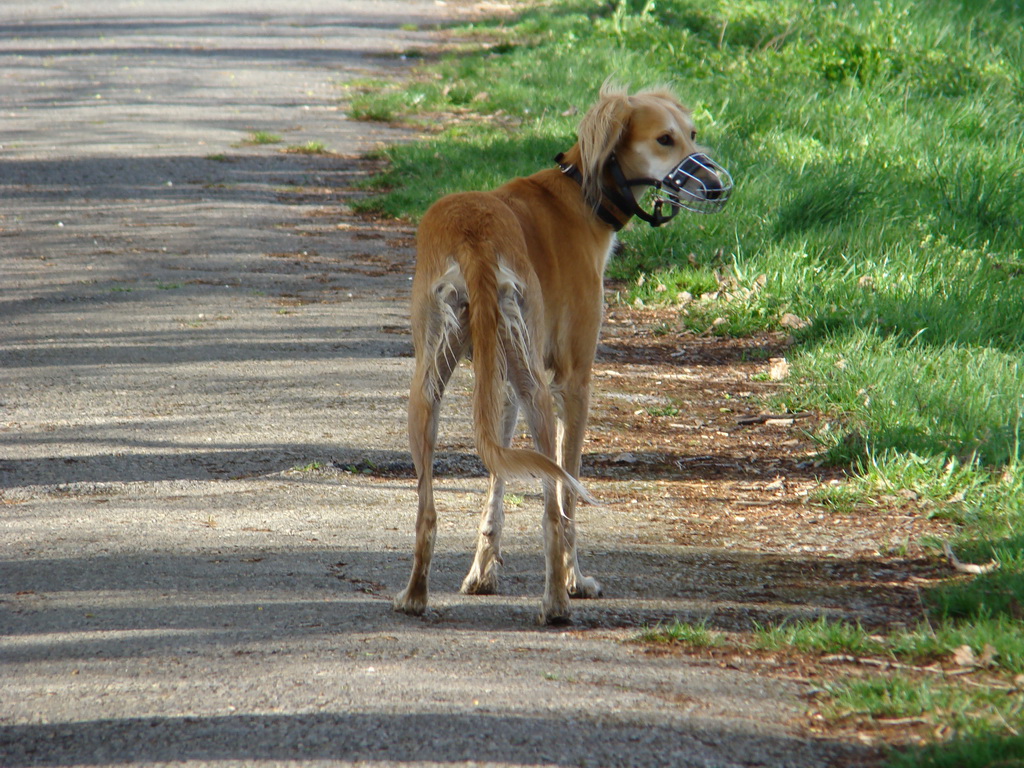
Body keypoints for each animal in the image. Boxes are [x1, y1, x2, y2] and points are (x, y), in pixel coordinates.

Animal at [391, 83, 729, 626]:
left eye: (693, 133)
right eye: (665, 139)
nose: (716, 188)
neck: (577, 195)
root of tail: (474, 234)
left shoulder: (503, 385)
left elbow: (498, 477)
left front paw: (482, 573)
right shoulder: (574, 381)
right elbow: (567, 489)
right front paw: (576, 578)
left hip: (429, 390)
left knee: (427, 509)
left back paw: (415, 596)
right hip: (539, 394)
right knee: (554, 504)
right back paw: (556, 603)